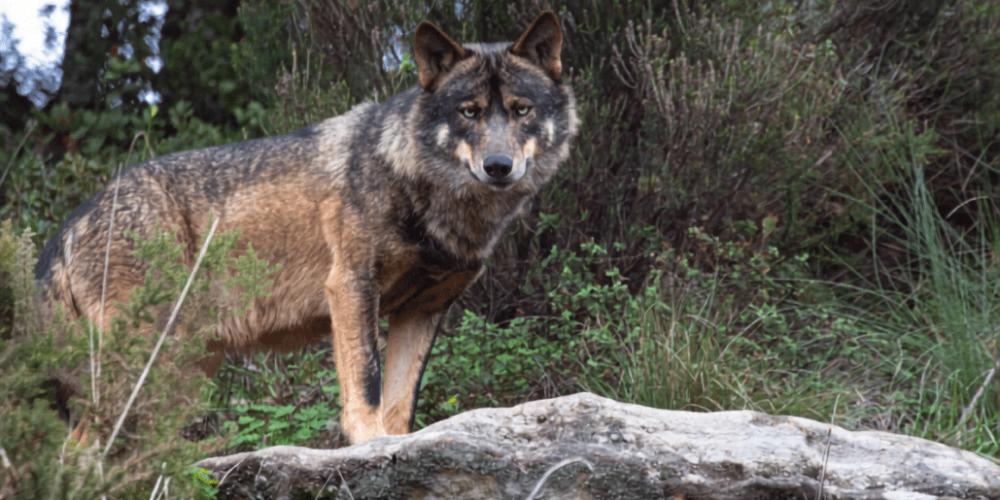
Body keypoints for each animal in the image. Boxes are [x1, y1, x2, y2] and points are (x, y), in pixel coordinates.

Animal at [34, 11, 577, 443]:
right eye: (469, 112)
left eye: (521, 110)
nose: (499, 166)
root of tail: (74, 219)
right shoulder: (351, 286)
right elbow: (366, 384)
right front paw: (368, 444)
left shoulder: (423, 310)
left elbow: (401, 406)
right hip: (145, 363)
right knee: (76, 448)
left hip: (181, 374)